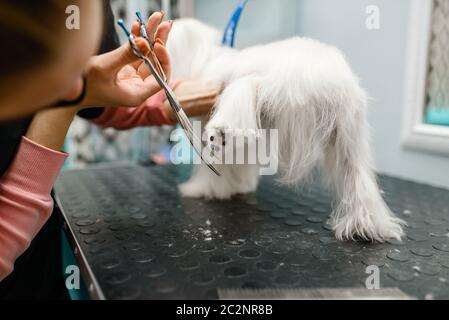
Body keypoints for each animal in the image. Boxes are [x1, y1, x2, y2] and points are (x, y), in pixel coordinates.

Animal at [166, 18, 404, 241]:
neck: (205, 57)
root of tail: (323, 73)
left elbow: (214, 169)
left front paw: (204, 189)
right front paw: (237, 186)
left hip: (266, 86)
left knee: (245, 90)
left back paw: (223, 129)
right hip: (348, 136)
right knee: (357, 176)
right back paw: (365, 225)